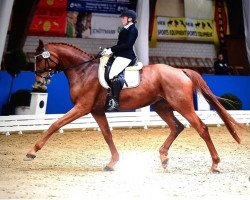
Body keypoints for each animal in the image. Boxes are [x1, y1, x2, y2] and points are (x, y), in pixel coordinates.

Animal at [24, 40, 241, 172]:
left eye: (38, 59)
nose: (39, 83)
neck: (83, 70)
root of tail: (180, 70)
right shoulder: (96, 111)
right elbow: (107, 135)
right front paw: (112, 162)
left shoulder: (82, 107)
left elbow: (55, 124)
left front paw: (32, 151)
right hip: (162, 106)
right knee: (177, 126)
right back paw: (164, 158)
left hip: (182, 105)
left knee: (201, 128)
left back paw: (215, 165)